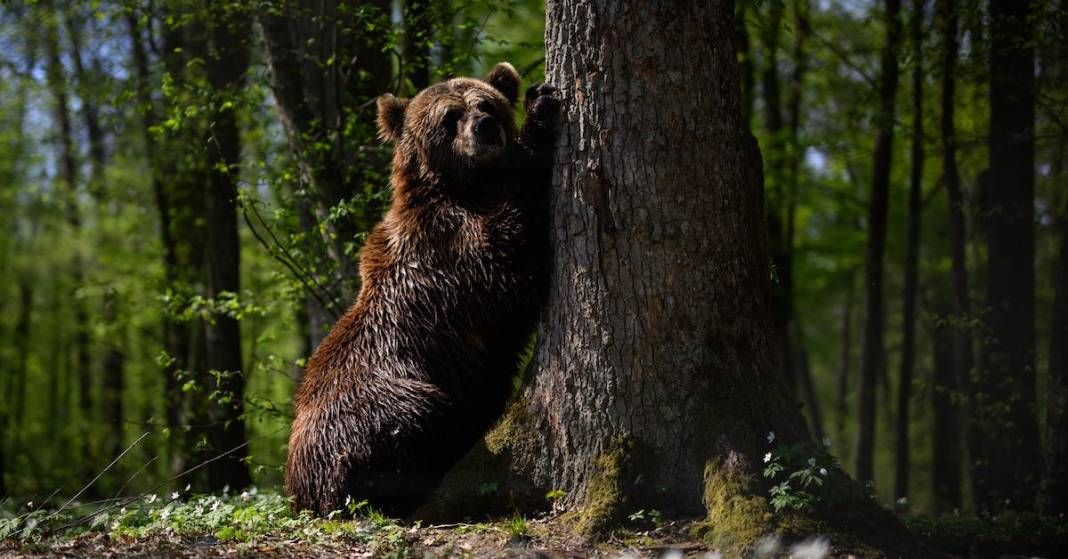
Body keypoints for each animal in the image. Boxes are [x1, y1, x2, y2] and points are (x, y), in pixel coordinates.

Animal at [288, 64, 563, 517]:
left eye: (487, 104)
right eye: (449, 116)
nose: (485, 128)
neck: (463, 189)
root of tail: (300, 490)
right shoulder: (447, 254)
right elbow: (509, 258)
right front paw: (540, 112)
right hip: (377, 404)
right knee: (416, 421)